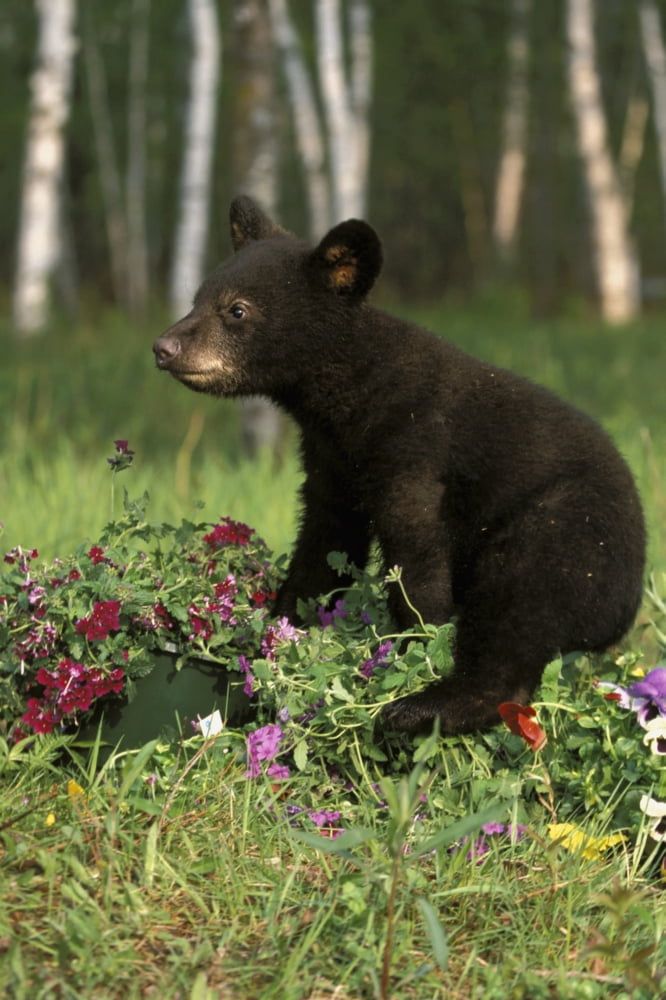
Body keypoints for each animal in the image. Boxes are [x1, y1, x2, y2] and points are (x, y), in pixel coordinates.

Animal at [153, 195, 646, 736]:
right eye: (196, 298)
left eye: (237, 309)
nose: (164, 347)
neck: (352, 396)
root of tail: (626, 608)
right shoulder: (331, 460)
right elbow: (324, 543)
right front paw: (276, 635)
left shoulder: (413, 445)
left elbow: (416, 552)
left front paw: (414, 647)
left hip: (567, 537)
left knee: (517, 614)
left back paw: (417, 709)